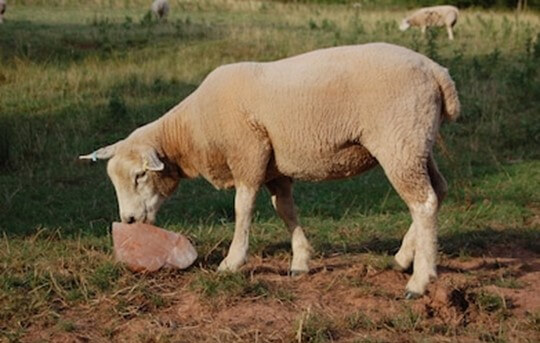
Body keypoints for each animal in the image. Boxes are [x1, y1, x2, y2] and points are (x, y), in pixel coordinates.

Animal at [81, 43, 460, 300]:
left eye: (140, 176)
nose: (128, 221)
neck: (192, 131)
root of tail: (437, 72)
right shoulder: (274, 168)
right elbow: (285, 210)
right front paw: (300, 261)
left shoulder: (248, 154)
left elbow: (242, 209)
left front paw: (232, 262)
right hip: (417, 143)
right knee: (437, 192)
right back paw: (403, 257)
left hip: (399, 141)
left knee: (423, 202)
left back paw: (420, 280)